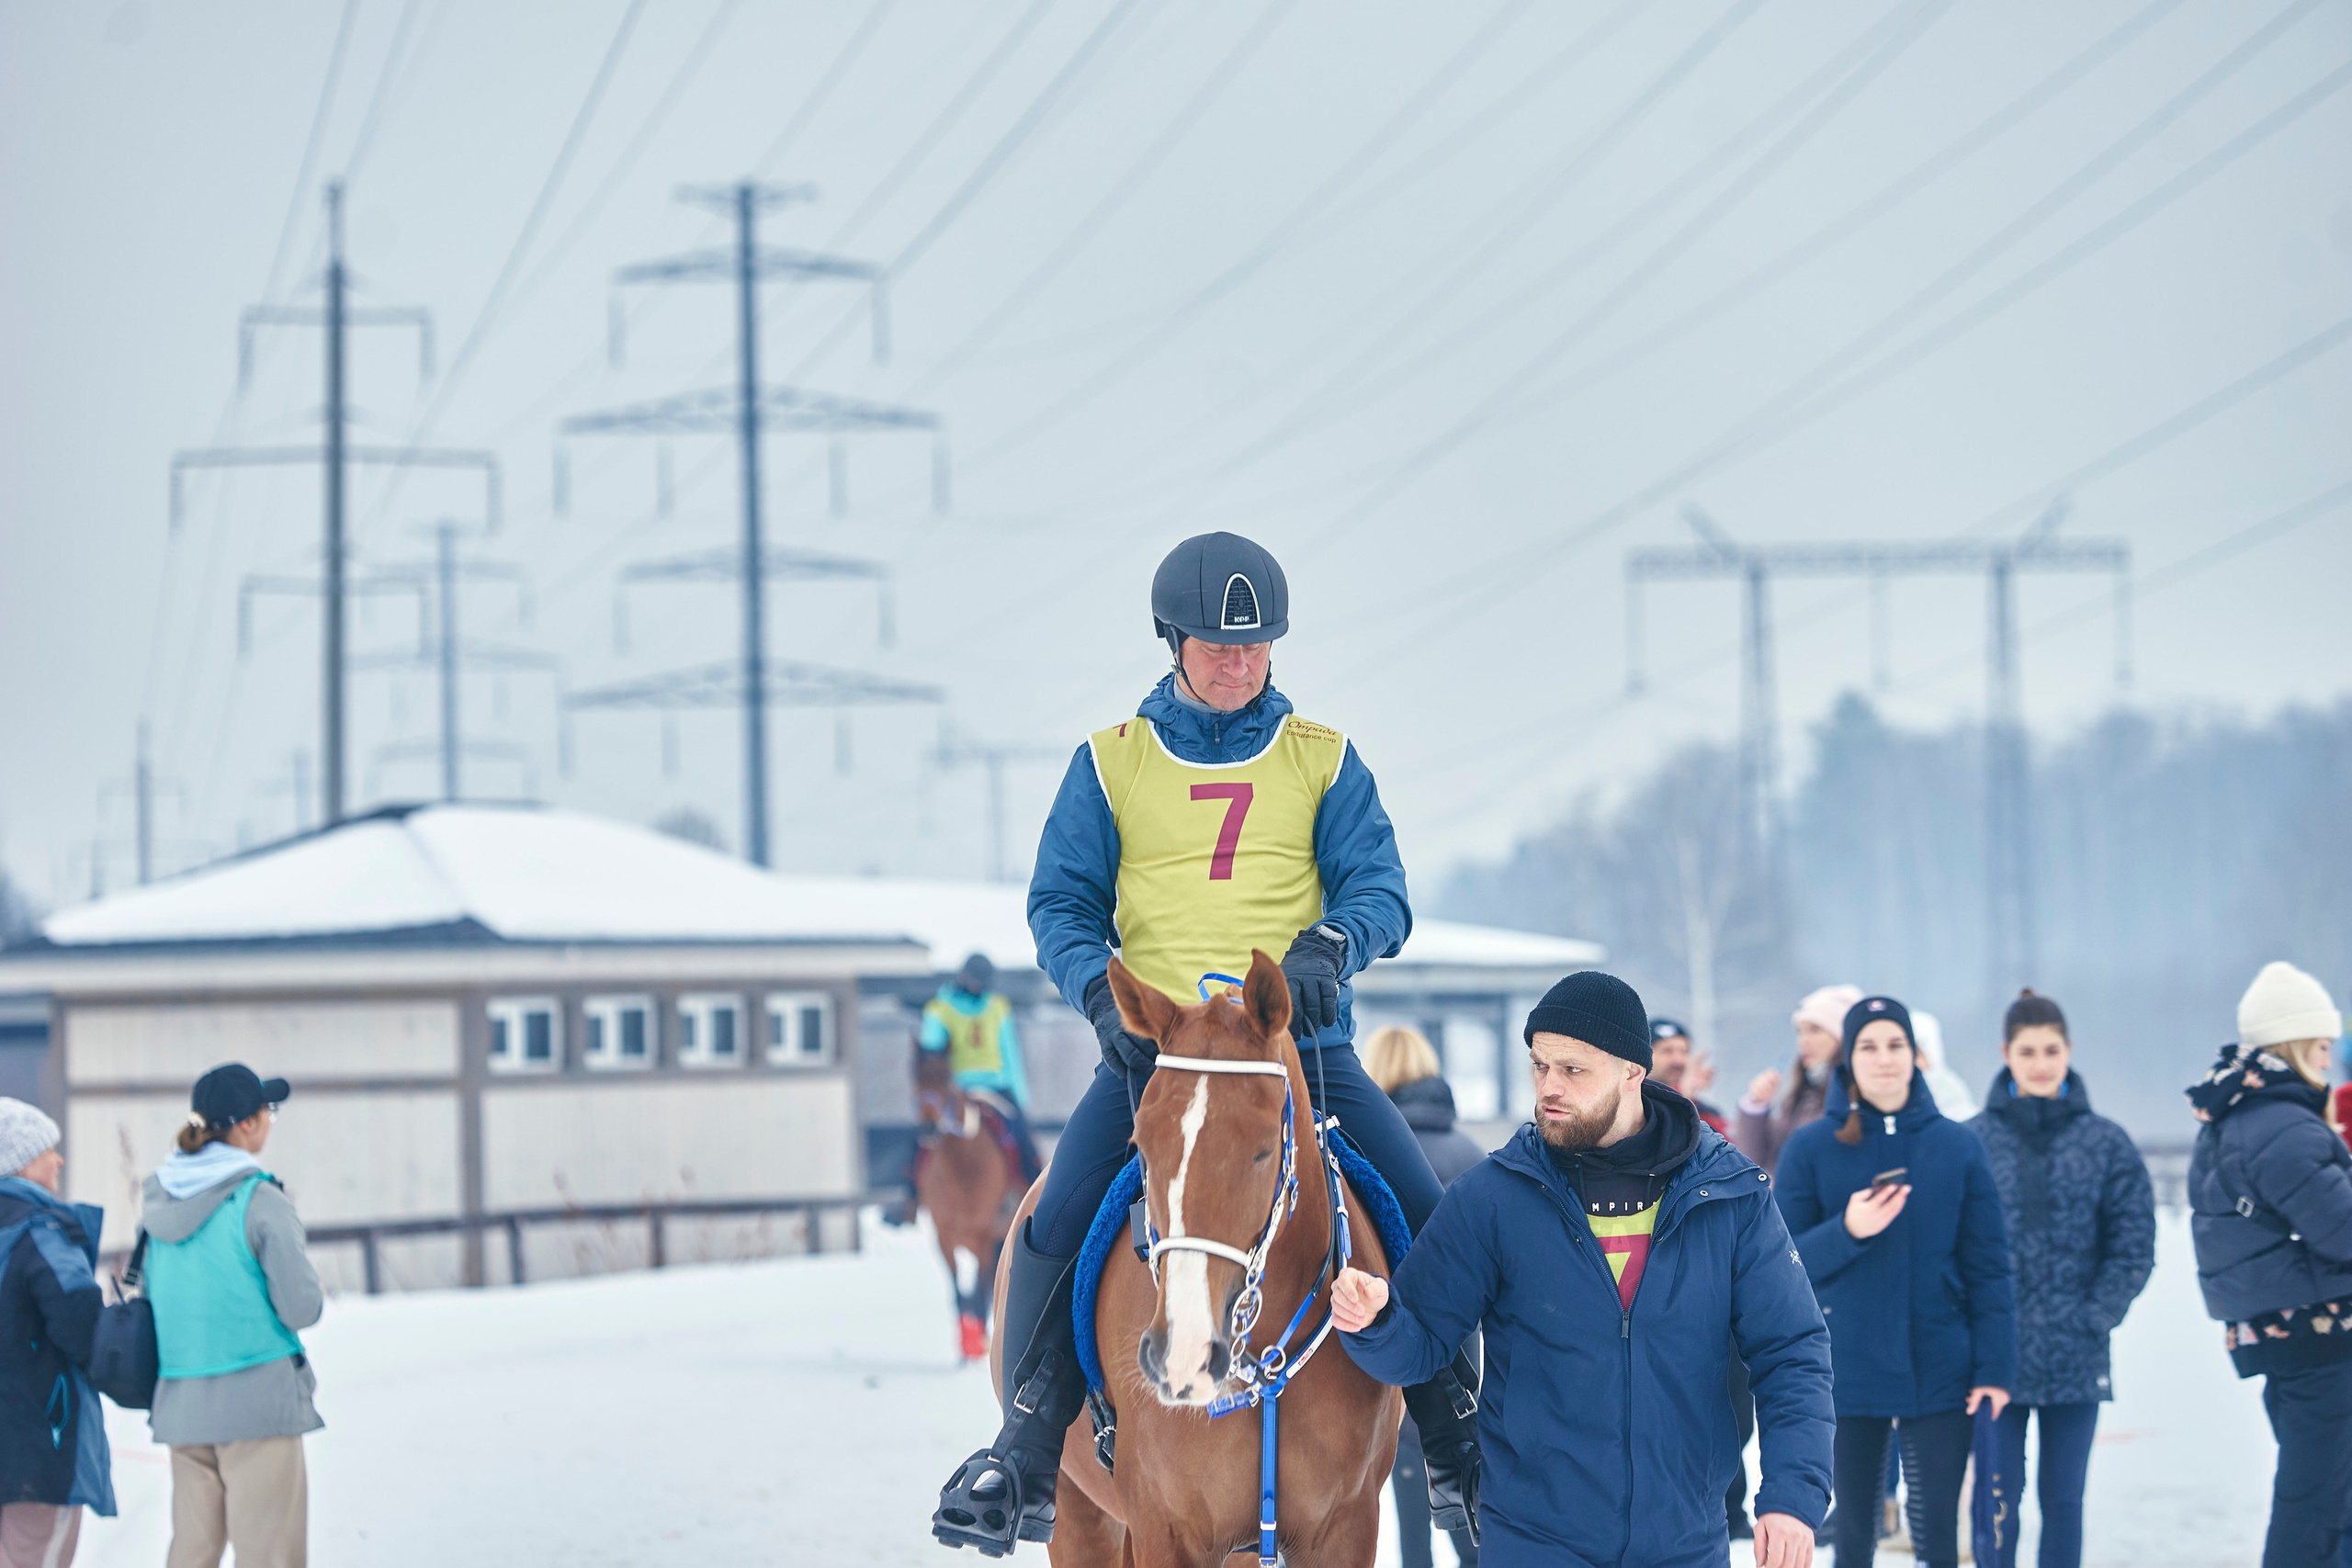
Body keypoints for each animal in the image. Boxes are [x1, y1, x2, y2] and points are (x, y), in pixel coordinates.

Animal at [915, 1043, 1020, 1362]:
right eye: (915, 1077)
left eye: (945, 1077)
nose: (928, 1128)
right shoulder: (944, 1236)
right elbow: (958, 1289)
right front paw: (965, 1343)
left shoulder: (984, 1234)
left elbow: (979, 1288)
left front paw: (978, 1340)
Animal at [990, 949, 1403, 1567]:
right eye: (1141, 1144)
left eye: (1263, 1150)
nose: (1180, 1354)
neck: (1263, 1369)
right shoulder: (1169, 1530)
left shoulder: (1345, 1528)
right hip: (1081, 1515)